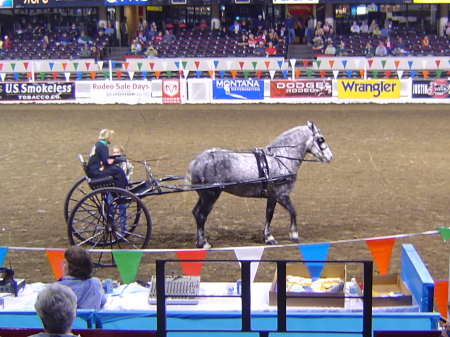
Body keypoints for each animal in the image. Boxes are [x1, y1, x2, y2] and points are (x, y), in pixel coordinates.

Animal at [185, 121, 332, 247]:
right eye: (321, 139)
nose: (330, 157)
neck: (280, 158)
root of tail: (197, 160)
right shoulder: (282, 195)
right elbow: (293, 211)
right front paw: (294, 234)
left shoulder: (272, 196)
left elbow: (269, 215)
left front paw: (268, 237)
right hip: (210, 196)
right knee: (201, 215)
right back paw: (203, 243)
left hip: (204, 196)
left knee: (196, 212)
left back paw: (200, 240)